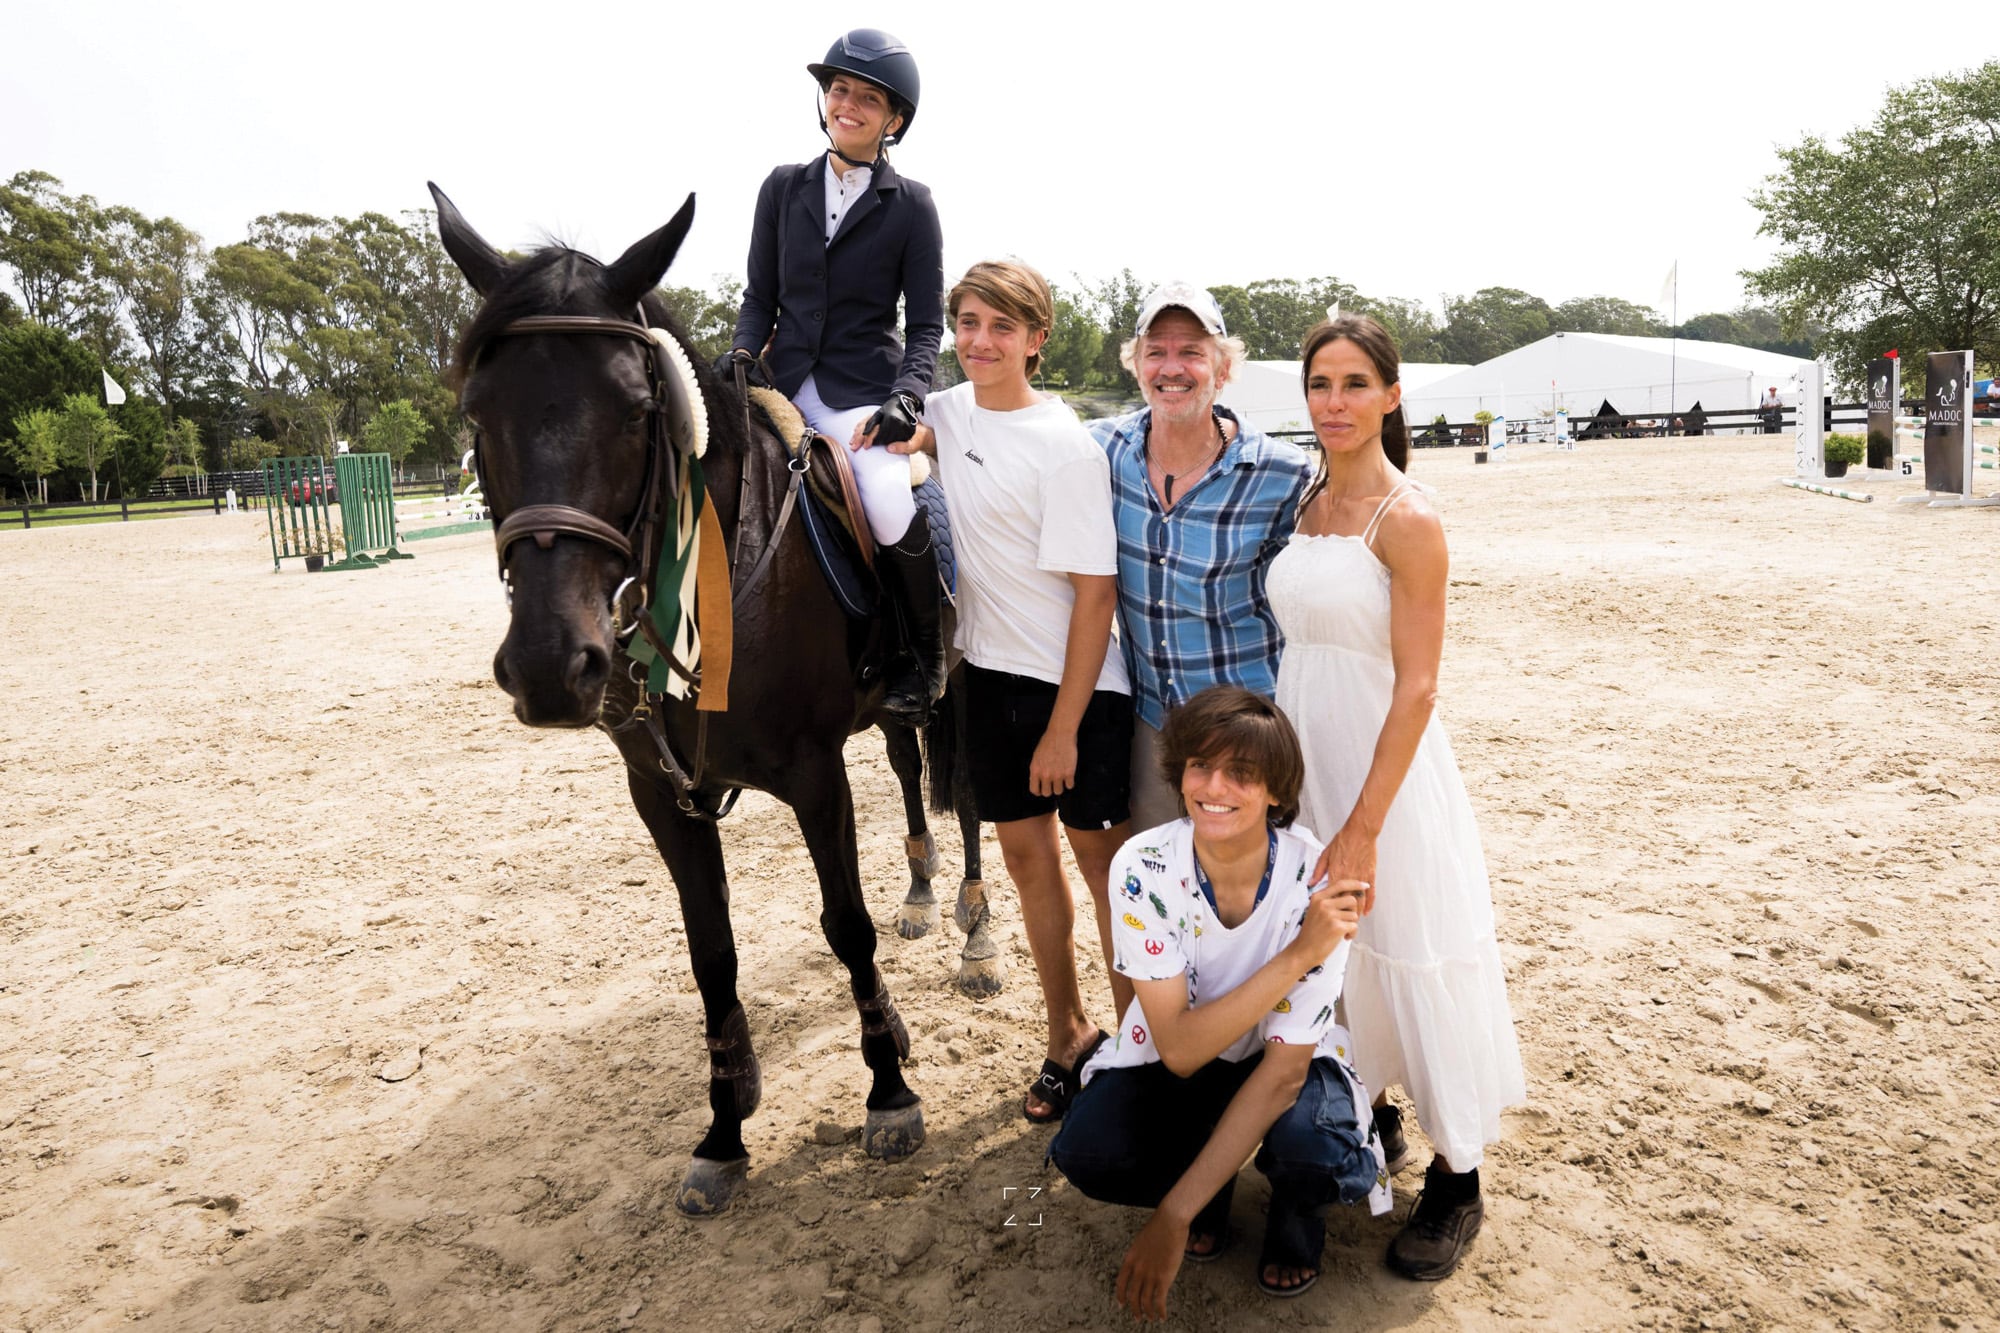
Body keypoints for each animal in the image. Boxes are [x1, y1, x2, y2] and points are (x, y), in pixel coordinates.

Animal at [438, 187, 992, 1216]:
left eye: (635, 410)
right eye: (477, 412)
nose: (549, 666)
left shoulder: (814, 775)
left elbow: (844, 924)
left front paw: (889, 1092)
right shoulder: (663, 794)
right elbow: (712, 953)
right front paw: (725, 1130)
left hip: (961, 678)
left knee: (970, 793)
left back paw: (976, 932)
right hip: (889, 710)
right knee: (909, 770)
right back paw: (923, 891)